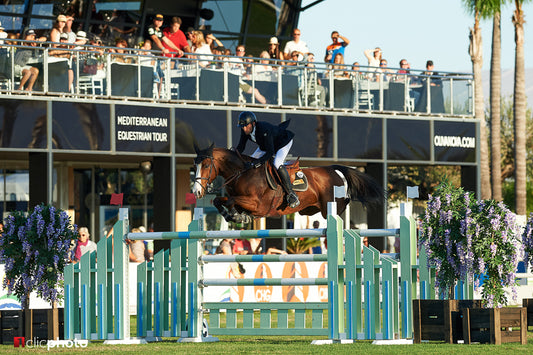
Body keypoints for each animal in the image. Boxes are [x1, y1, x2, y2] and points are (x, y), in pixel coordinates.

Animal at [191, 144, 382, 222]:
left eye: (206, 165)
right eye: (194, 165)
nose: (196, 192)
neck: (241, 173)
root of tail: (333, 169)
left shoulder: (257, 204)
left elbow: (231, 201)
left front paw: (235, 216)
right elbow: (220, 200)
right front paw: (232, 215)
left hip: (331, 207)